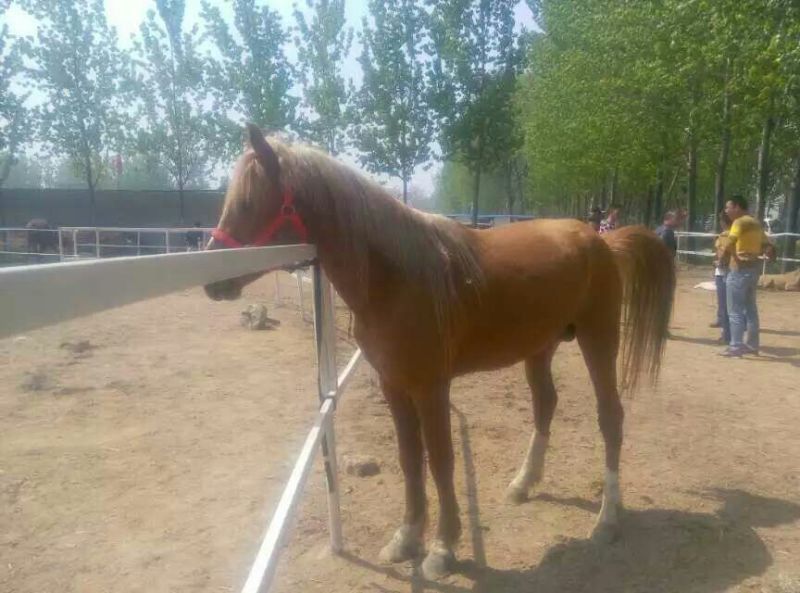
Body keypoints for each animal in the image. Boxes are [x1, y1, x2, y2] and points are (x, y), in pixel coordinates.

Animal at [204, 124, 676, 579]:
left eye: (248, 201)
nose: (212, 279)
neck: (395, 277)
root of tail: (601, 241)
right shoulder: (394, 386)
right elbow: (410, 459)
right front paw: (406, 537)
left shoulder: (432, 388)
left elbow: (442, 461)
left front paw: (444, 548)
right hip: (539, 348)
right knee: (546, 404)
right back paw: (524, 483)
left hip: (599, 340)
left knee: (609, 417)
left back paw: (608, 519)